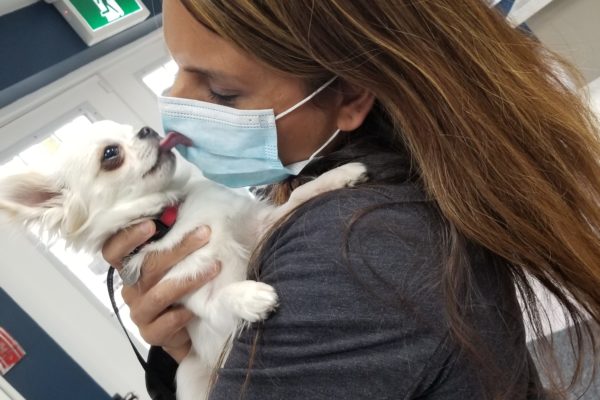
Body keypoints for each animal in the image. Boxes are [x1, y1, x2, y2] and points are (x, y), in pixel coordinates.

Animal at [0, 121, 368, 400]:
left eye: (130, 129)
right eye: (110, 154)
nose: (147, 129)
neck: (171, 217)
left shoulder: (260, 227)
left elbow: (298, 196)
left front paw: (339, 175)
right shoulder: (194, 296)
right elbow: (221, 298)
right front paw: (250, 296)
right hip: (191, 374)